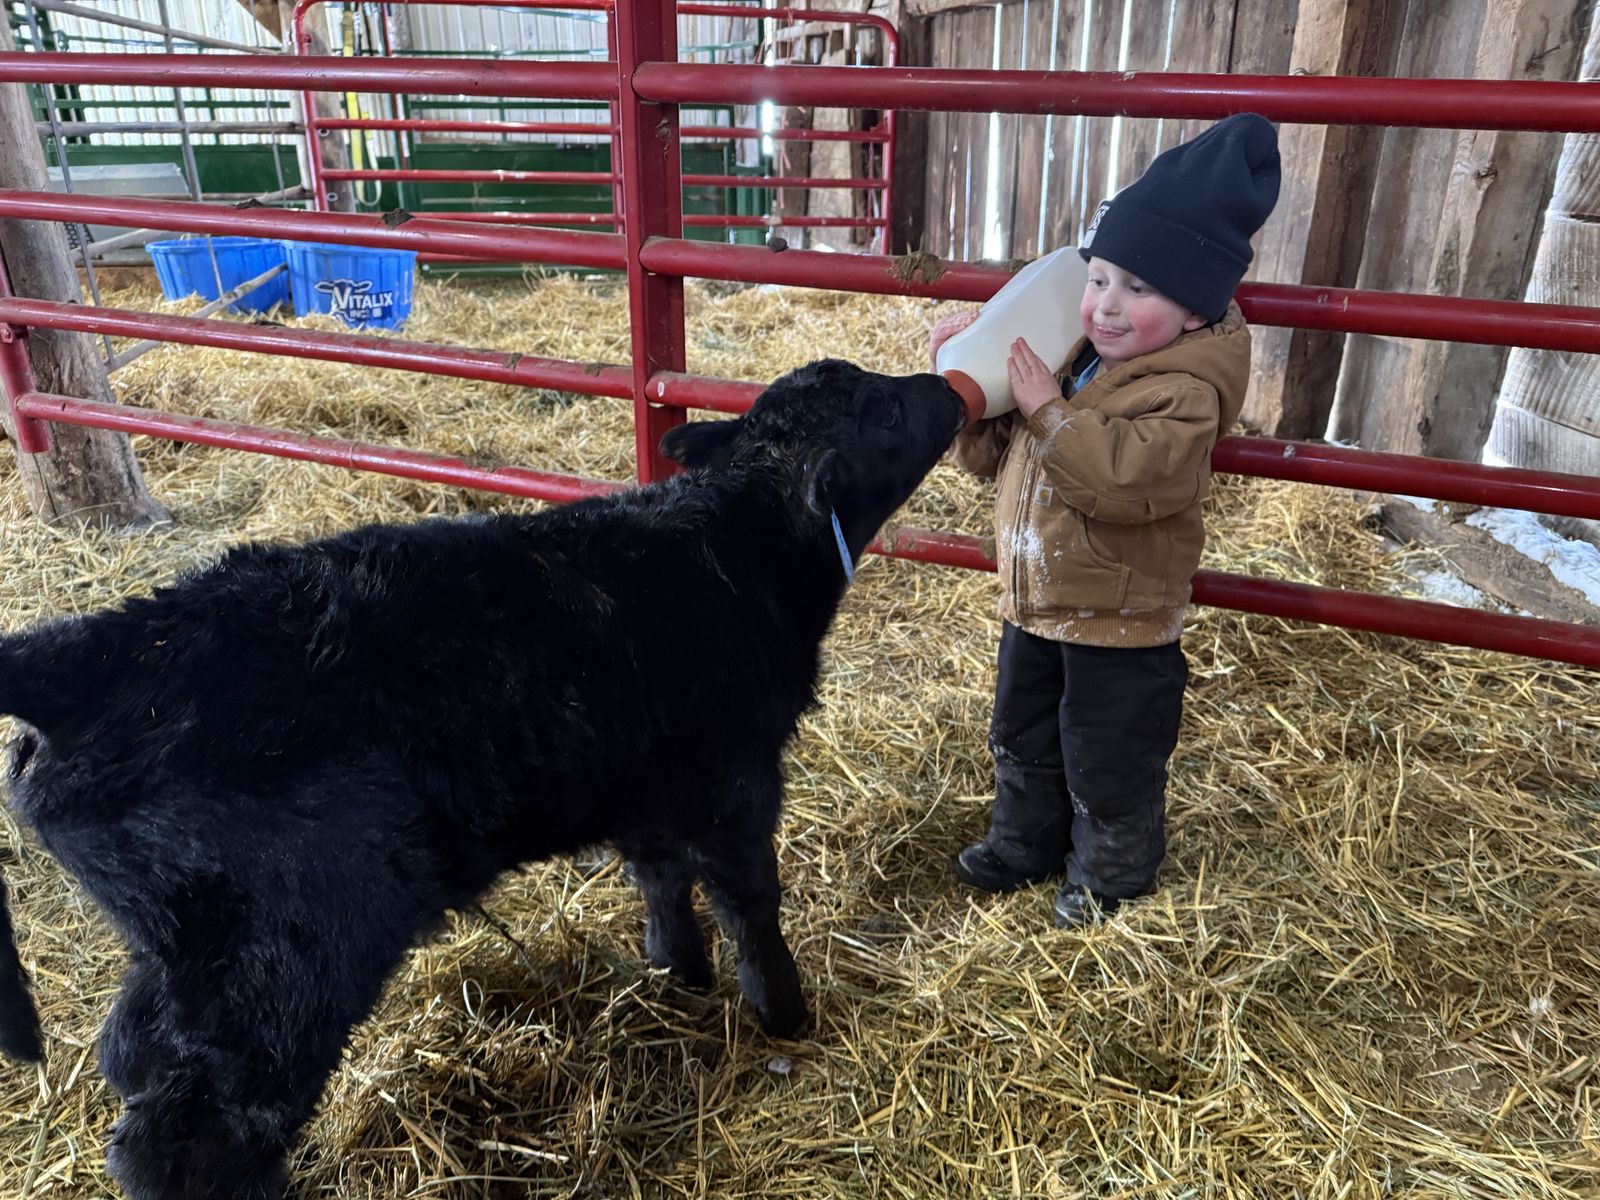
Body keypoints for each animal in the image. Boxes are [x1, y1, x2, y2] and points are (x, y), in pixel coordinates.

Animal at [0, 359, 967, 1200]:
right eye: (887, 413)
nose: (950, 387)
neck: (731, 550)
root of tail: (109, 645)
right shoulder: (737, 781)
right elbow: (750, 904)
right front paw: (785, 1014)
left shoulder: (645, 778)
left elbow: (660, 878)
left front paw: (677, 972)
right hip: (284, 951)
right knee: (193, 1130)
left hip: (182, 944)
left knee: (131, 1056)